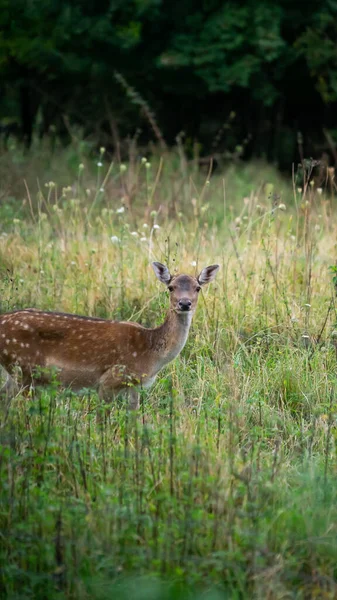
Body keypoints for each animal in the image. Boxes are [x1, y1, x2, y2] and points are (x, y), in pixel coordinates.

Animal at [0, 264, 219, 412]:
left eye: (198, 288)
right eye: (171, 287)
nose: (184, 303)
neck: (150, 354)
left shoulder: (135, 386)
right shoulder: (109, 380)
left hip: (16, 371)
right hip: (25, 369)